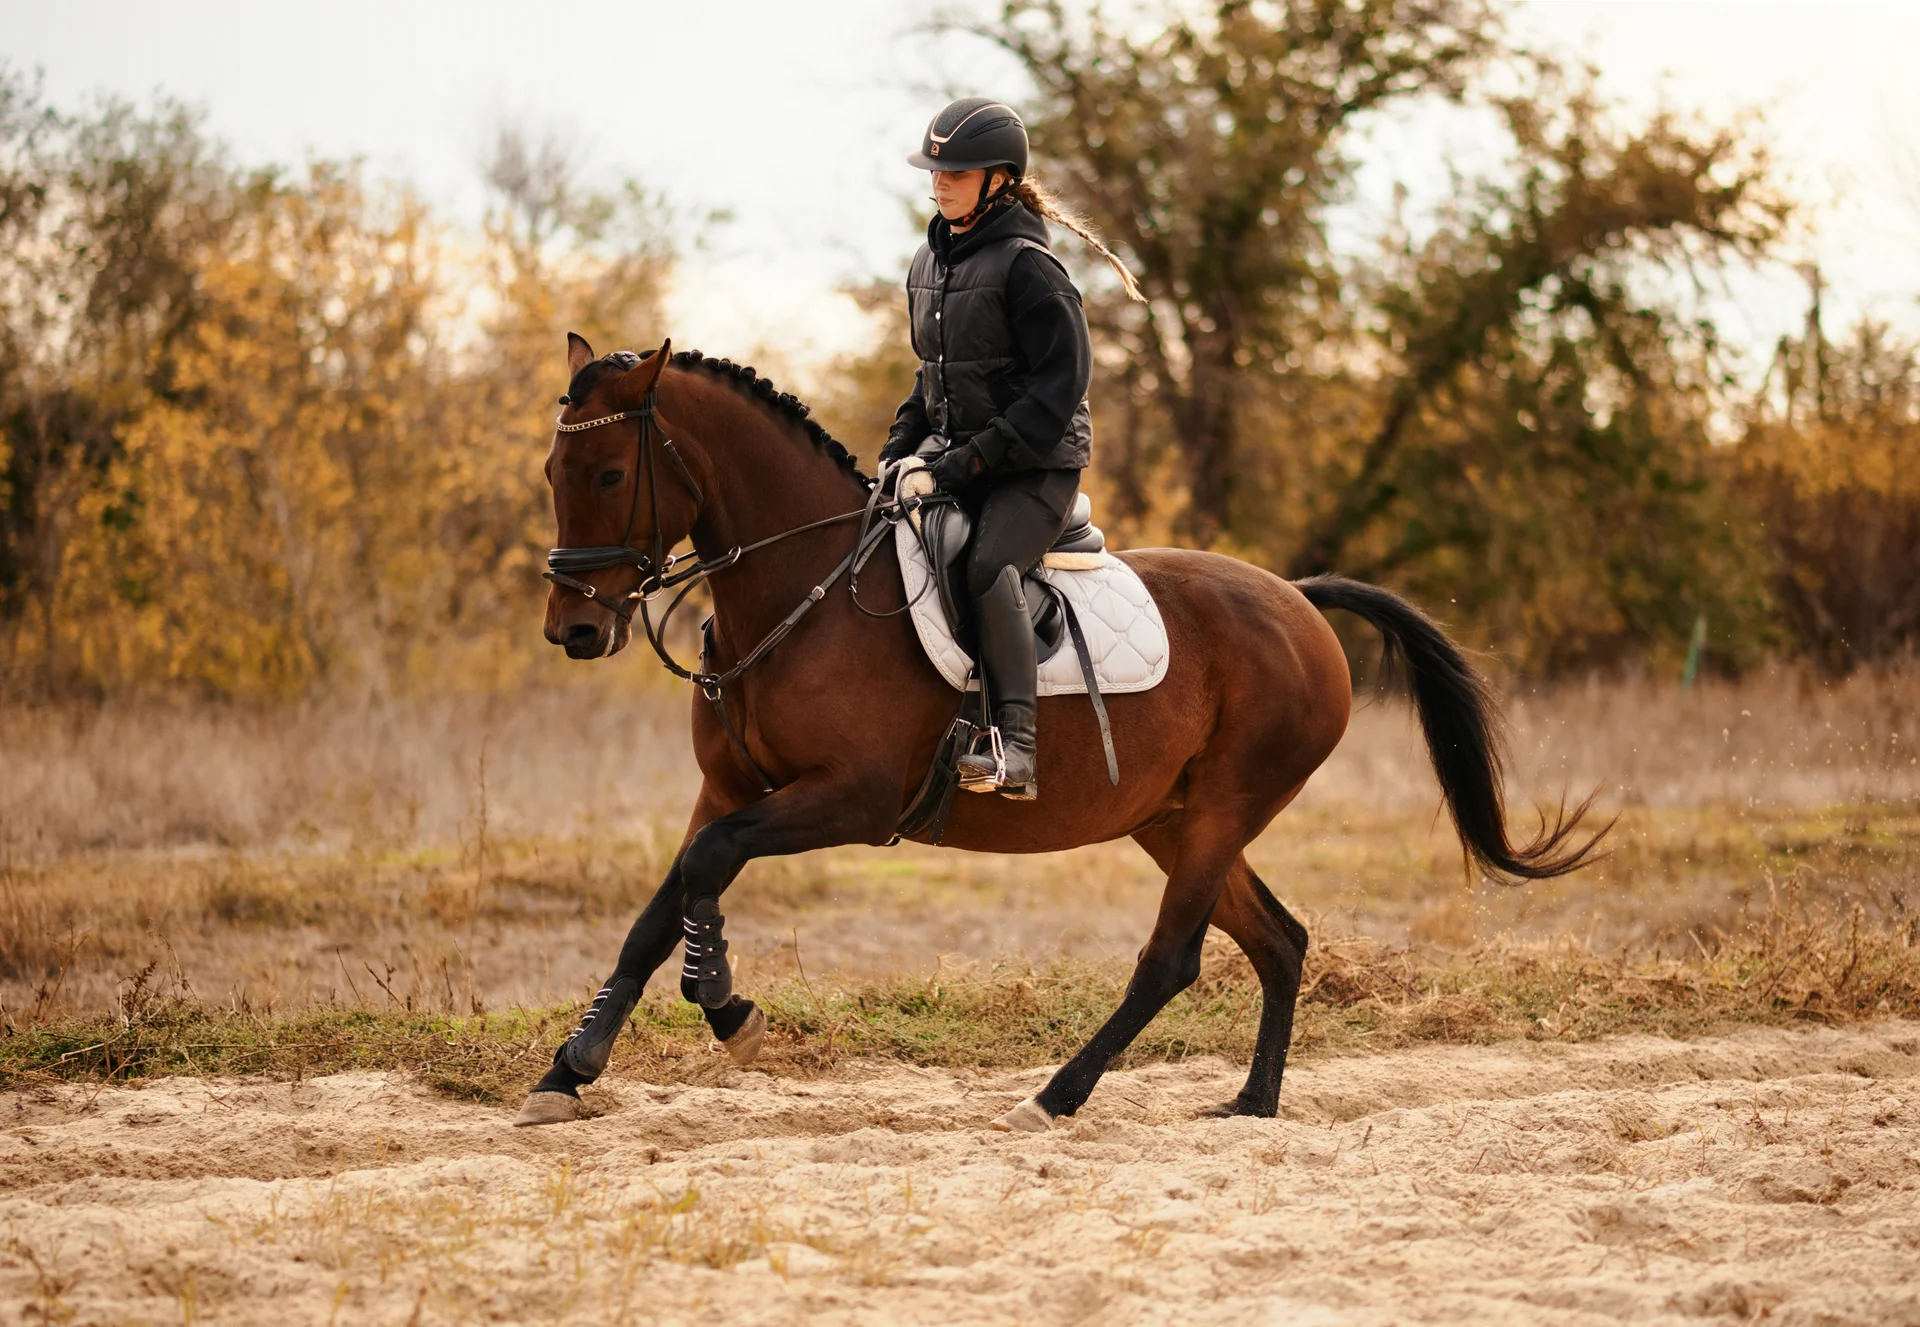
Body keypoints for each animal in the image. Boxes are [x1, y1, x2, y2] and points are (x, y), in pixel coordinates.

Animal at [516, 334, 1604, 1129]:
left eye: (608, 475)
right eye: (554, 471)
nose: (573, 629)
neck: (801, 594)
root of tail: (1296, 600)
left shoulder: (849, 799)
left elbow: (707, 868)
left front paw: (728, 1009)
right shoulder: (732, 788)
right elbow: (663, 903)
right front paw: (570, 1068)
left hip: (1222, 810)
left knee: (1174, 959)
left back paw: (1055, 1096)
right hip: (1174, 817)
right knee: (1280, 940)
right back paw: (1252, 1103)